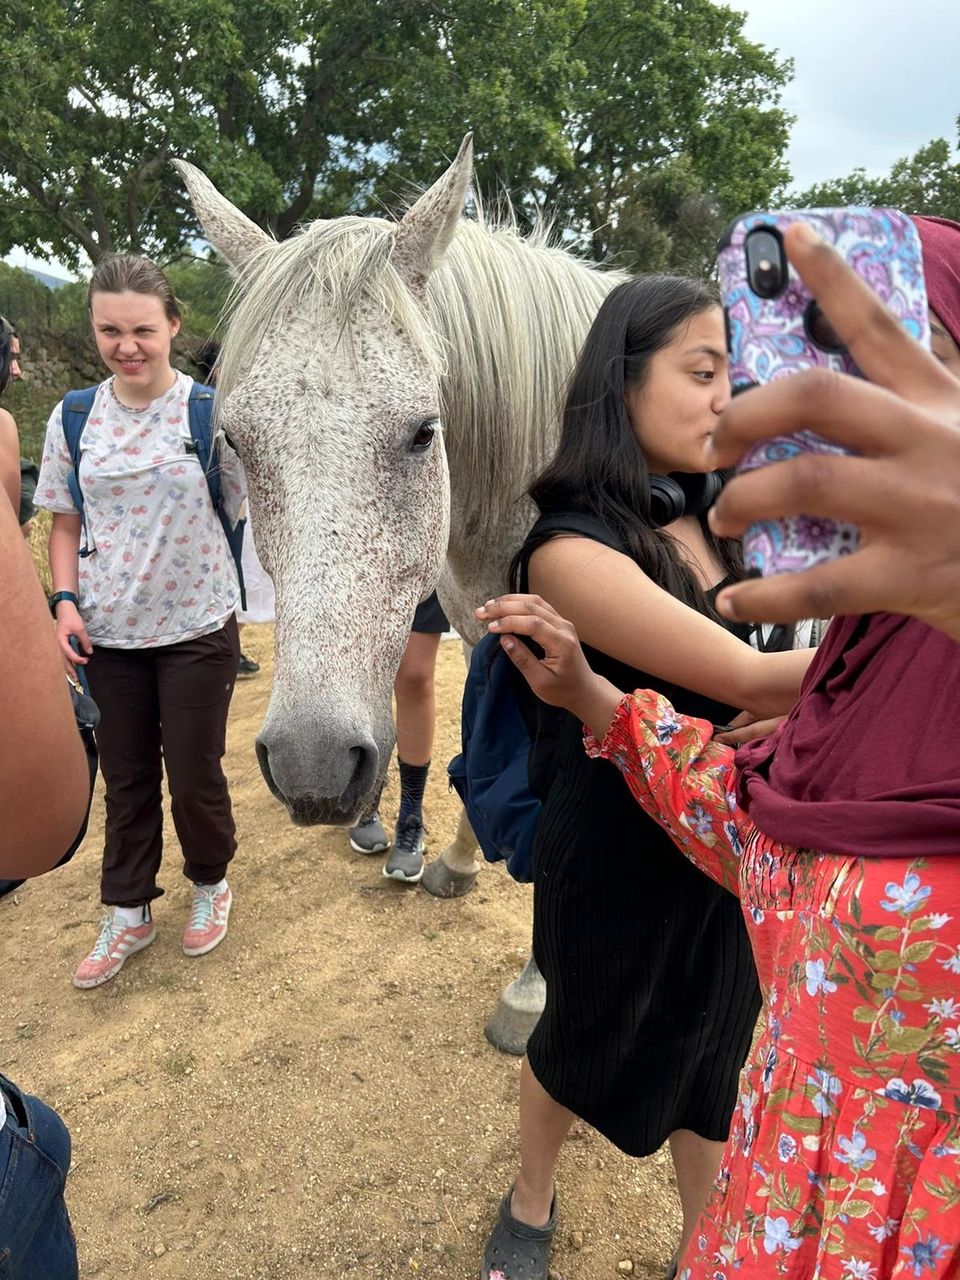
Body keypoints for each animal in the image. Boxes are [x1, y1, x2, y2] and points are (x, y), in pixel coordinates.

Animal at [177, 137, 632, 1039]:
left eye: (426, 432)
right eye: (237, 441)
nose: (312, 762)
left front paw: (532, 992)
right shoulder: (493, 636)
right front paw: (456, 861)